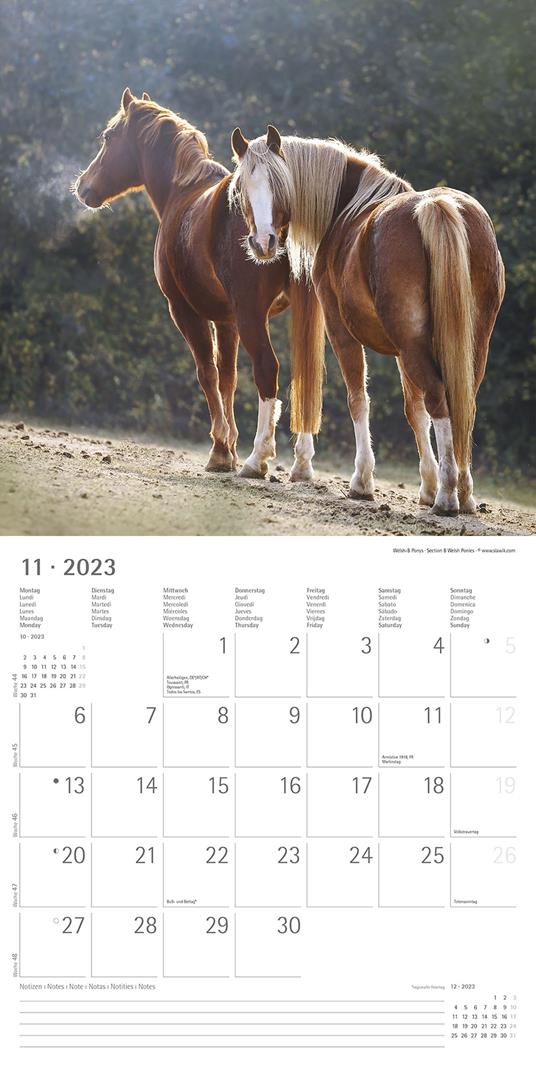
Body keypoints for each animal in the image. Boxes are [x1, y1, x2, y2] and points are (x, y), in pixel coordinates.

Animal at [75, 89, 324, 480]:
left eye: (109, 137)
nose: (84, 187)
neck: (184, 191)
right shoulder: (227, 320)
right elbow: (227, 378)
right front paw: (230, 445)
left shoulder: (185, 311)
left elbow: (206, 373)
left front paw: (221, 450)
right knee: (306, 377)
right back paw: (301, 464)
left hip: (252, 317)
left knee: (267, 370)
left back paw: (258, 459)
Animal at [230, 126, 505, 514]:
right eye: (243, 189)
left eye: (278, 184)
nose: (263, 243)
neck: (346, 210)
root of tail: (438, 207)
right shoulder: (405, 352)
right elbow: (414, 410)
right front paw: (426, 484)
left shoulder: (341, 331)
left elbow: (358, 399)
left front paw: (362, 481)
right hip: (467, 345)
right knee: (462, 402)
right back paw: (463, 493)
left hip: (412, 344)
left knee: (440, 398)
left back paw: (448, 496)